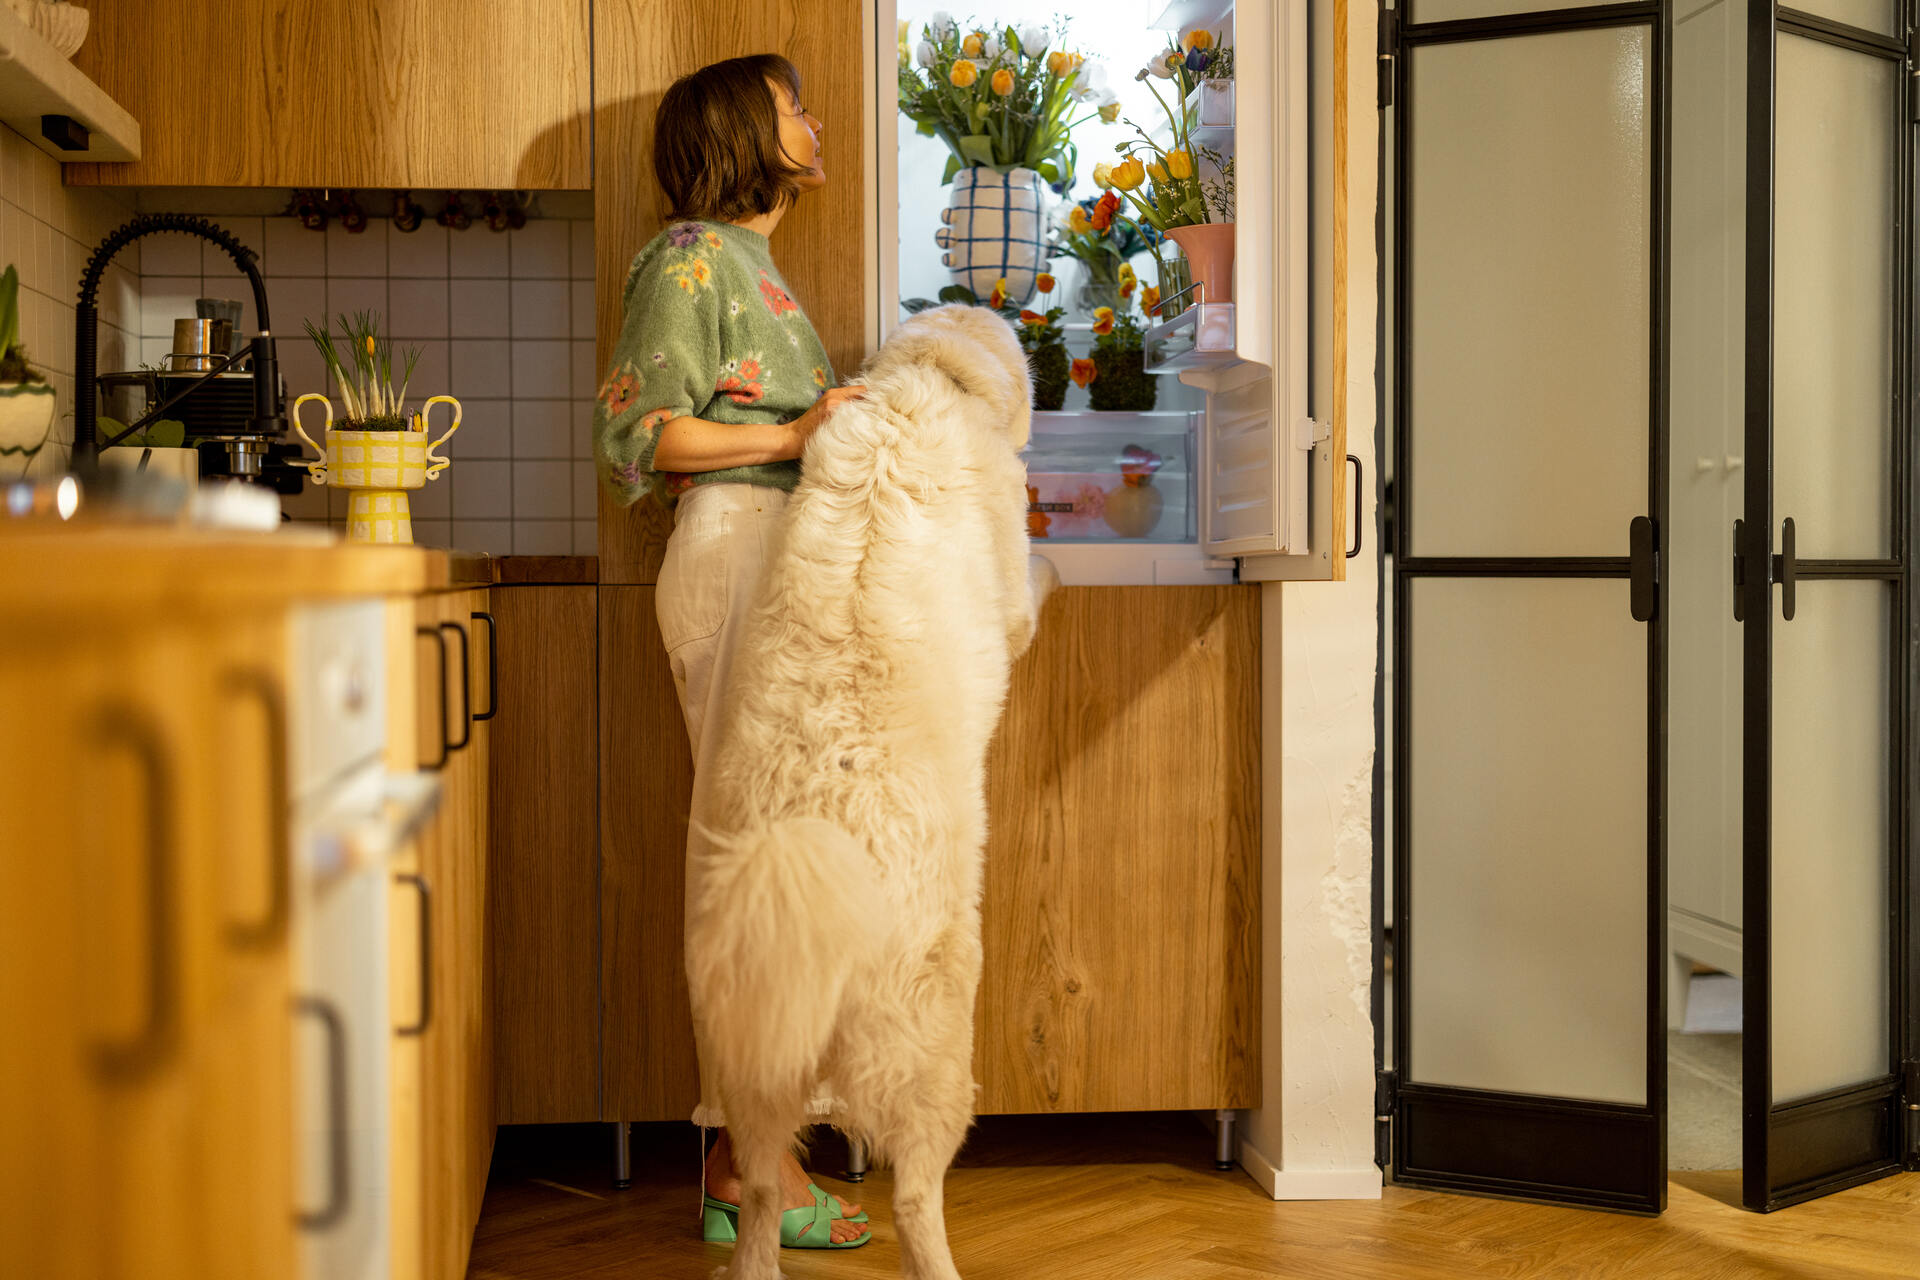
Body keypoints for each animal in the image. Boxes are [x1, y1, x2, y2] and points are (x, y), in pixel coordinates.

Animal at [687, 303, 1059, 1280]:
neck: (923, 385)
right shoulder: (1013, 584)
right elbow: (1029, 594)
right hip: (935, 1050)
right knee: (918, 1196)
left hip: (755, 1062)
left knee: (761, 1192)